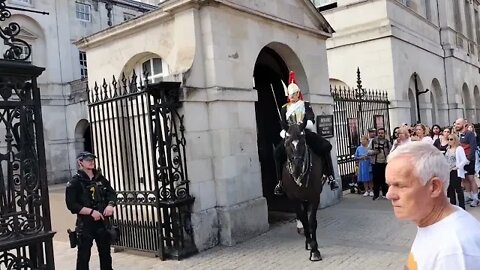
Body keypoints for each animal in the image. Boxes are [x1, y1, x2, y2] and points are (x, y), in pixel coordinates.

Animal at [282, 123, 326, 260]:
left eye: (303, 142)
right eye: (287, 143)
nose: (296, 168)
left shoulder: (315, 197)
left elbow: (312, 222)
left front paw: (315, 251)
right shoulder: (295, 200)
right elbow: (305, 221)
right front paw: (311, 244)